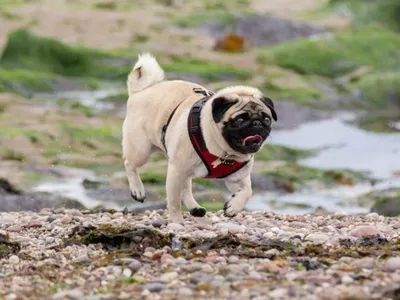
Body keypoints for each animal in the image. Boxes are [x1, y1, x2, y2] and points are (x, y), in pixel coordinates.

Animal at [122, 52, 278, 224]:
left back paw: (194, 207)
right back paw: (137, 190)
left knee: (186, 186)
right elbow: (174, 202)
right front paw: (176, 222)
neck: (225, 152)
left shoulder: (237, 178)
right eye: (239, 120)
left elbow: (247, 191)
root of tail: (140, 91)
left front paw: (233, 207)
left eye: (267, 119)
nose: (257, 123)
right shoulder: (176, 171)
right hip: (142, 150)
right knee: (130, 164)